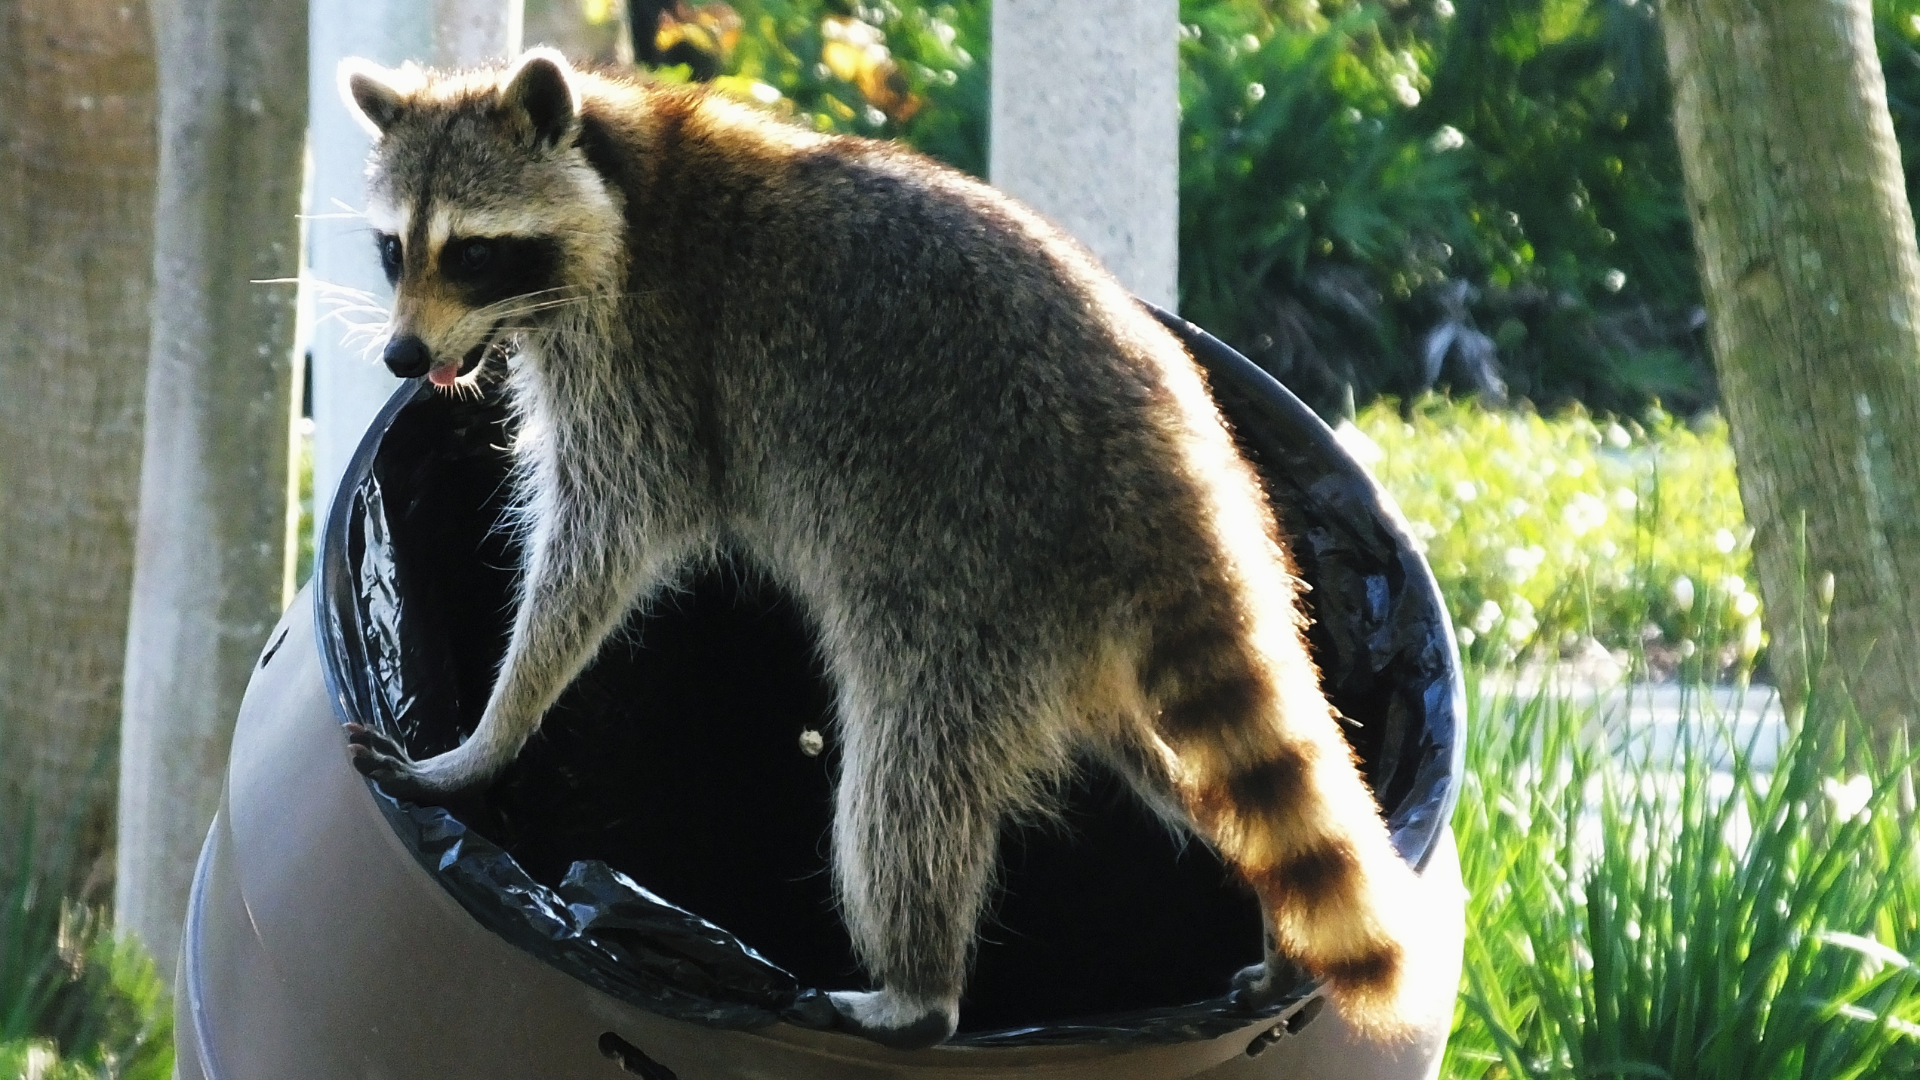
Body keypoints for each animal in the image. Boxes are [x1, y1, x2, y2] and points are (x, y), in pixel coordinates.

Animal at [338, 49, 1434, 1048]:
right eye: (394, 249)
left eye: (474, 253)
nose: (400, 356)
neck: (624, 175)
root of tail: (1174, 471)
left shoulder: (648, 357)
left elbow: (603, 543)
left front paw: (491, 734)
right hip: (1071, 631)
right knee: (1181, 766)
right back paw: (1269, 918)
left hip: (976, 574)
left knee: (908, 767)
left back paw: (917, 990)